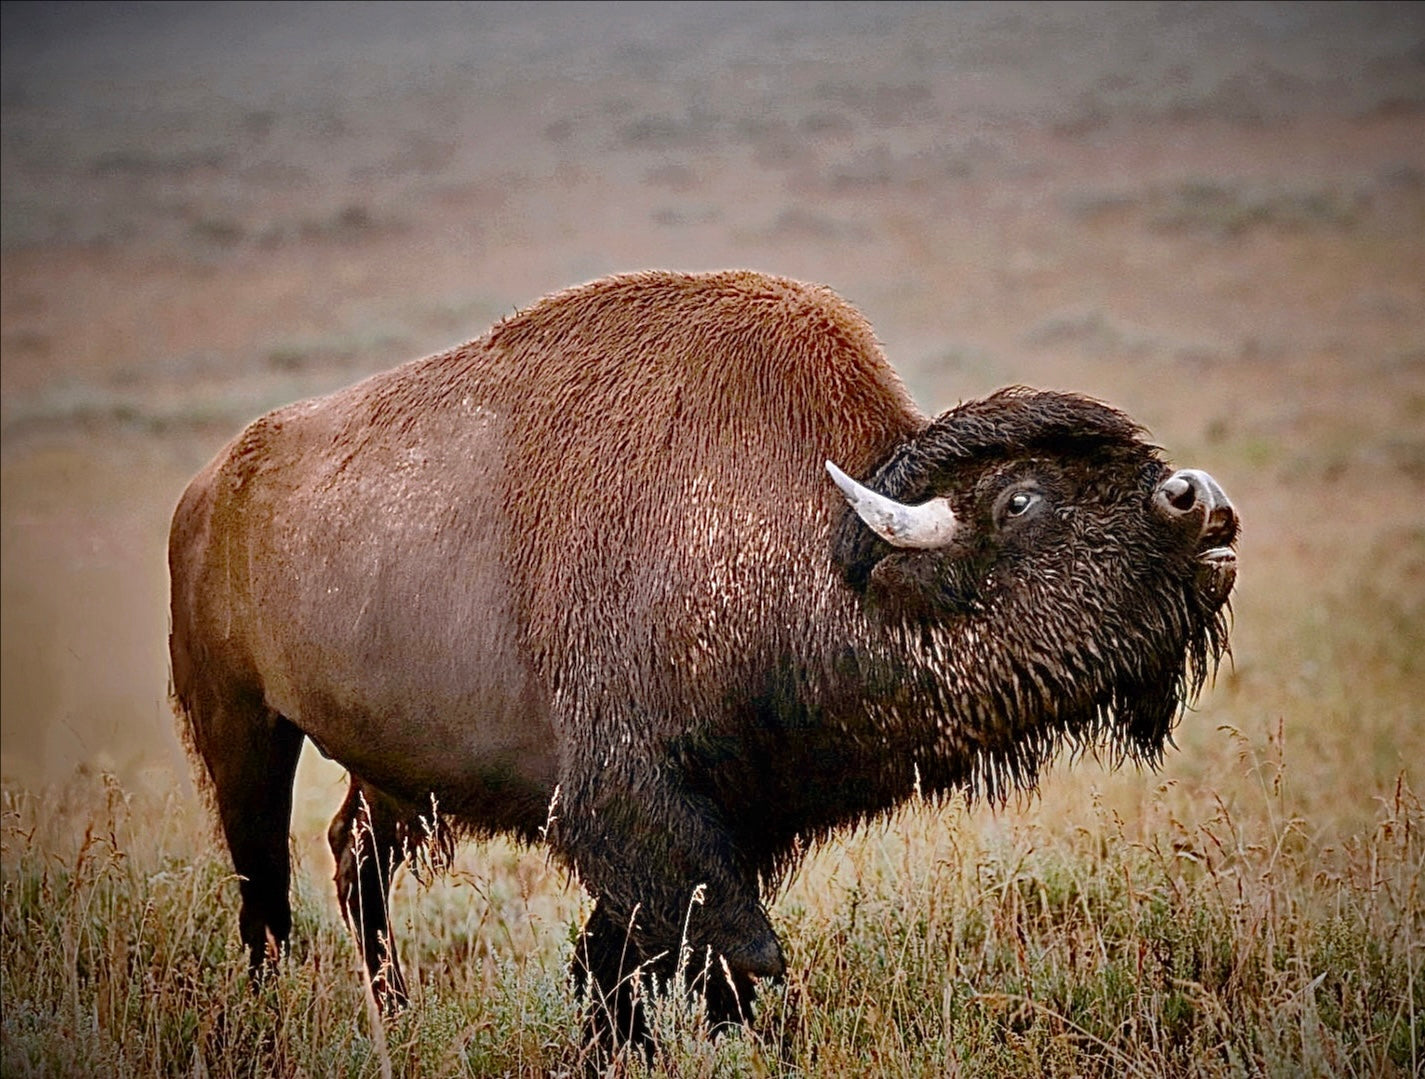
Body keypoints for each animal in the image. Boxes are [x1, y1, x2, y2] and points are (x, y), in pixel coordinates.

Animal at [168, 269, 1237, 1047]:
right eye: (1020, 499)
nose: (1203, 504)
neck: (814, 555)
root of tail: (210, 487)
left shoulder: (720, 828)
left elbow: (623, 970)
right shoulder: (630, 812)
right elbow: (741, 961)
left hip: (395, 770)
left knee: (353, 857)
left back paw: (393, 1011)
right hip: (242, 727)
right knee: (263, 882)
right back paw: (275, 1011)